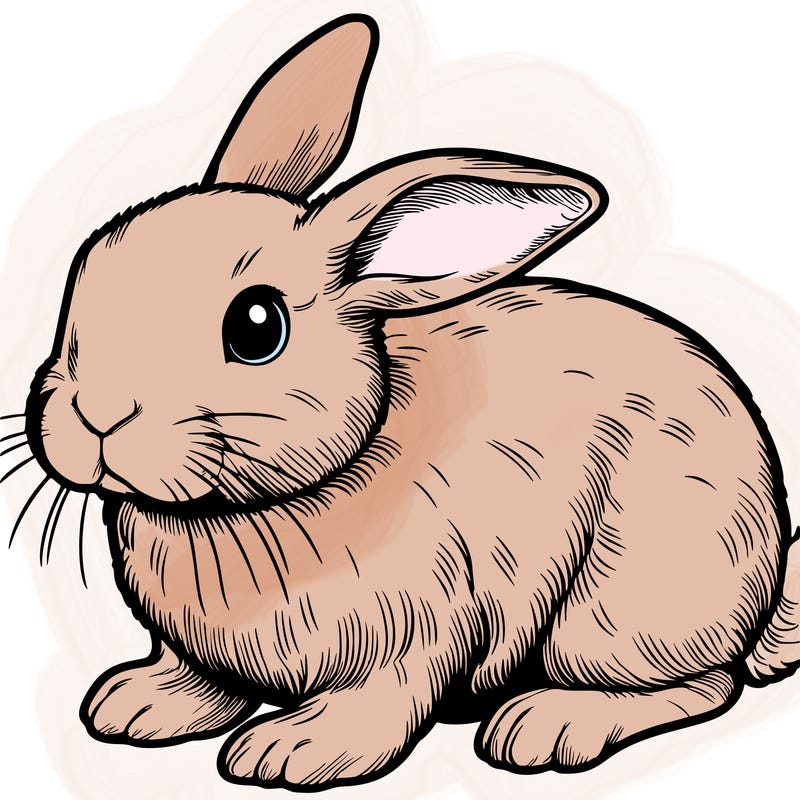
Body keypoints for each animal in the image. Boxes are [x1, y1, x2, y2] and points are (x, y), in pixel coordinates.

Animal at [15, 11, 800, 792]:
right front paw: (136, 704)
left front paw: (291, 751)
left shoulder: (418, 632)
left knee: (705, 684)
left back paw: (546, 725)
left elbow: (380, 702)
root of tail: (765, 586)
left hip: (615, 612)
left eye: (257, 327)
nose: (96, 414)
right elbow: (201, 680)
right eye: (85, 268)